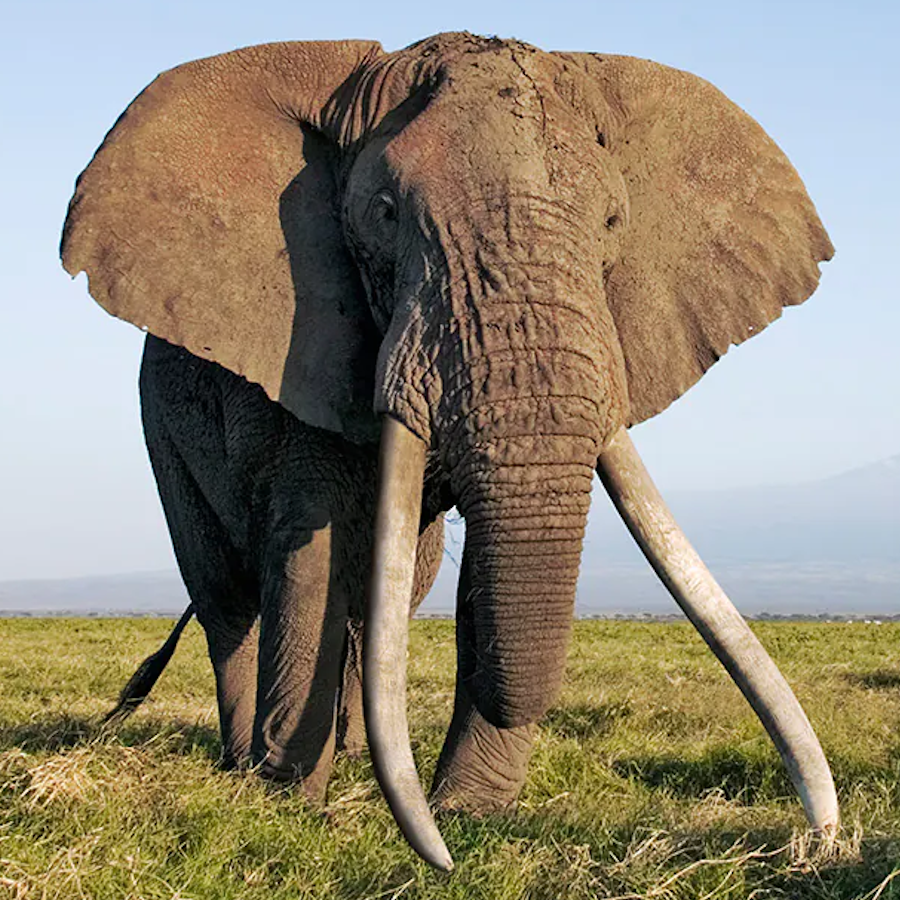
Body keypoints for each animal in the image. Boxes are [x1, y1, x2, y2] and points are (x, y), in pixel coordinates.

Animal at [61, 33, 838, 870]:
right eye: (384, 215)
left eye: (612, 221)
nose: (818, 837)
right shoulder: (304, 344)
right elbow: (312, 553)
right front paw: (291, 805)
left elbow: (473, 584)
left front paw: (467, 811)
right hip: (161, 427)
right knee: (226, 596)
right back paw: (247, 766)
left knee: (392, 592)